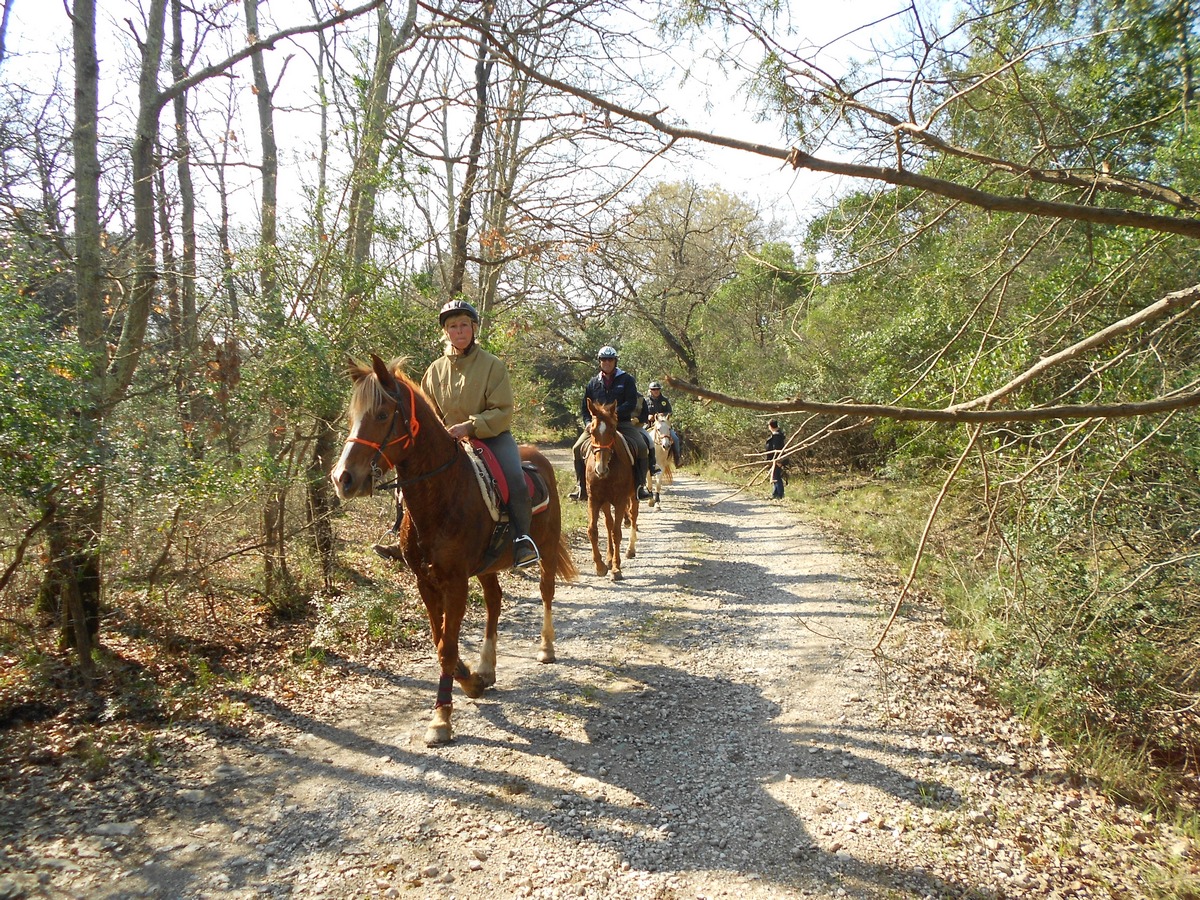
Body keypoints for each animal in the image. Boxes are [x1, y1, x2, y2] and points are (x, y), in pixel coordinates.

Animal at [326, 355, 573, 748]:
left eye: (382, 414)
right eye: (353, 415)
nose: (342, 478)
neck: (442, 494)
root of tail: (539, 459)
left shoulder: (455, 582)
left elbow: (446, 647)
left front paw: (441, 719)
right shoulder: (426, 583)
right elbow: (441, 639)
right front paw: (471, 680)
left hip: (546, 550)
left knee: (546, 592)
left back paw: (546, 649)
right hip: (488, 566)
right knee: (494, 602)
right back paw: (487, 667)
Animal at [585, 400, 643, 580]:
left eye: (612, 430)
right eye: (592, 431)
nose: (601, 469)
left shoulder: (620, 500)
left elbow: (617, 533)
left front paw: (617, 569)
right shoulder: (594, 499)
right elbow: (594, 530)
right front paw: (601, 565)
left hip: (633, 496)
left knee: (633, 516)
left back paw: (630, 550)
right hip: (605, 502)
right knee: (609, 524)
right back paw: (609, 558)